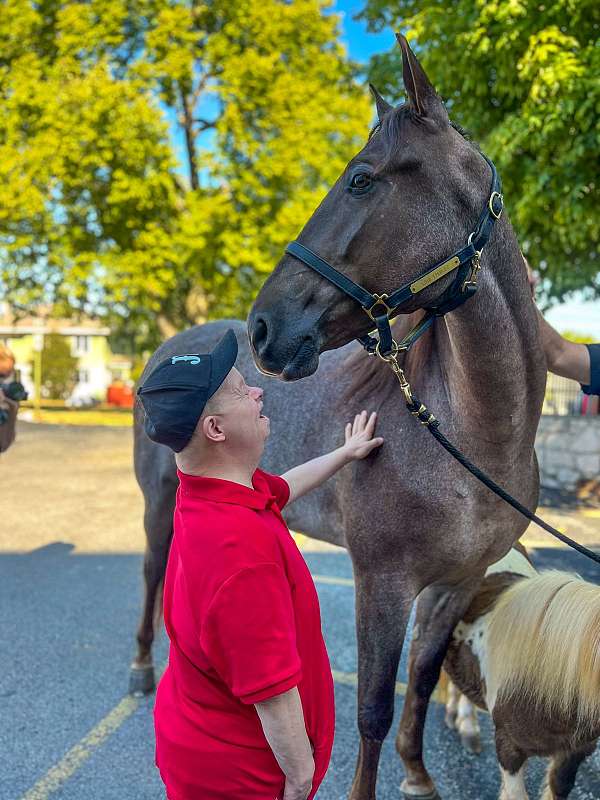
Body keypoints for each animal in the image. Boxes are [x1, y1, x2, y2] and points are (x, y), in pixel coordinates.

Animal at [134, 36, 548, 800]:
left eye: (360, 181)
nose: (265, 327)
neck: (470, 440)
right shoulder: (381, 583)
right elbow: (374, 710)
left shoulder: (453, 586)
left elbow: (421, 683)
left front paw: (418, 775)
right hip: (157, 499)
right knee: (151, 570)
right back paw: (142, 668)